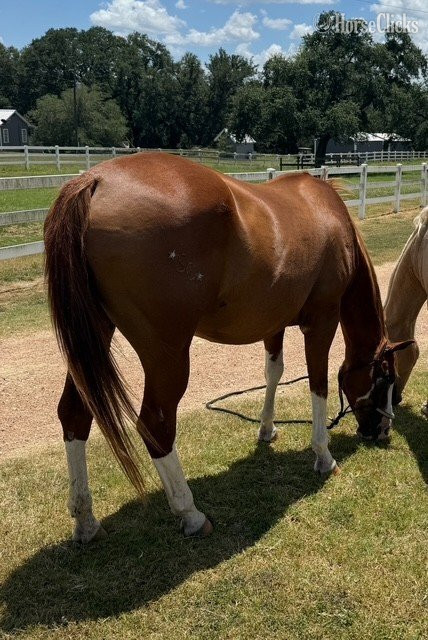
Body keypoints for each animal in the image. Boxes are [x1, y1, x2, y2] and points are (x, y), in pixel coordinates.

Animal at [44, 153, 413, 544]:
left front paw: (266, 430)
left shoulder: (274, 323)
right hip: (167, 354)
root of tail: (95, 181)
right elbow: (319, 384)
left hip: (92, 341)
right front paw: (323, 456)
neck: (327, 214)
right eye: (385, 379)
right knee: (156, 425)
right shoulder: (322, 322)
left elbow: (273, 372)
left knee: (74, 415)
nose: (383, 430)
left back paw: (86, 520)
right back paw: (190, 513)